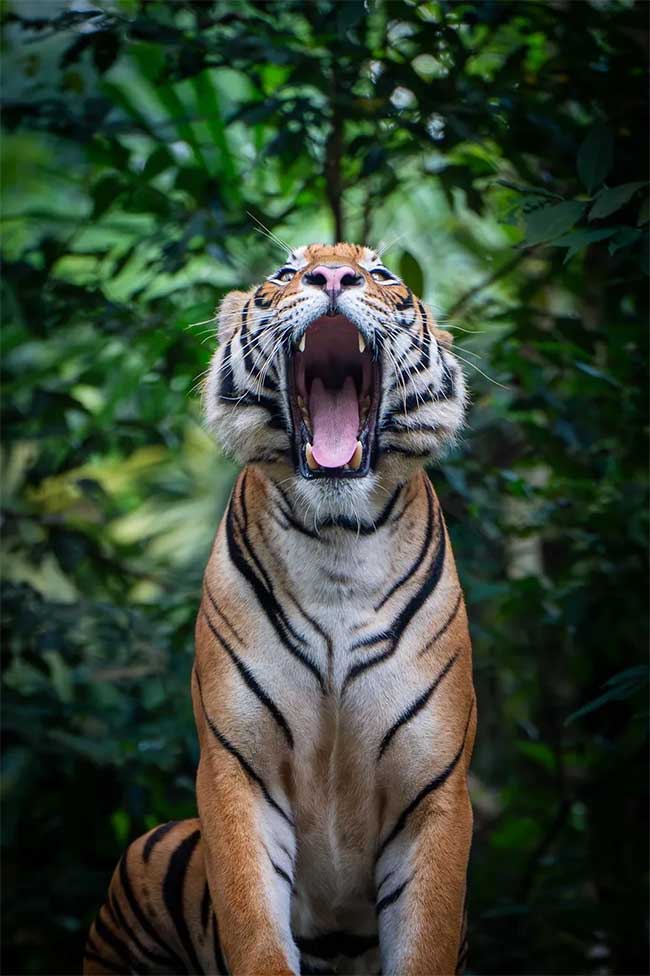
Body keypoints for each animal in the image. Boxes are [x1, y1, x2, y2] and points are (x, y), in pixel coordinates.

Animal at [85, 242, 476, 976]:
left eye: (381, 274)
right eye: (286, 273)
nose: (333, 276)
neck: (338, 545)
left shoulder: (435, 790)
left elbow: (427, 935)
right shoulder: (237, 770)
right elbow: (253, 927)